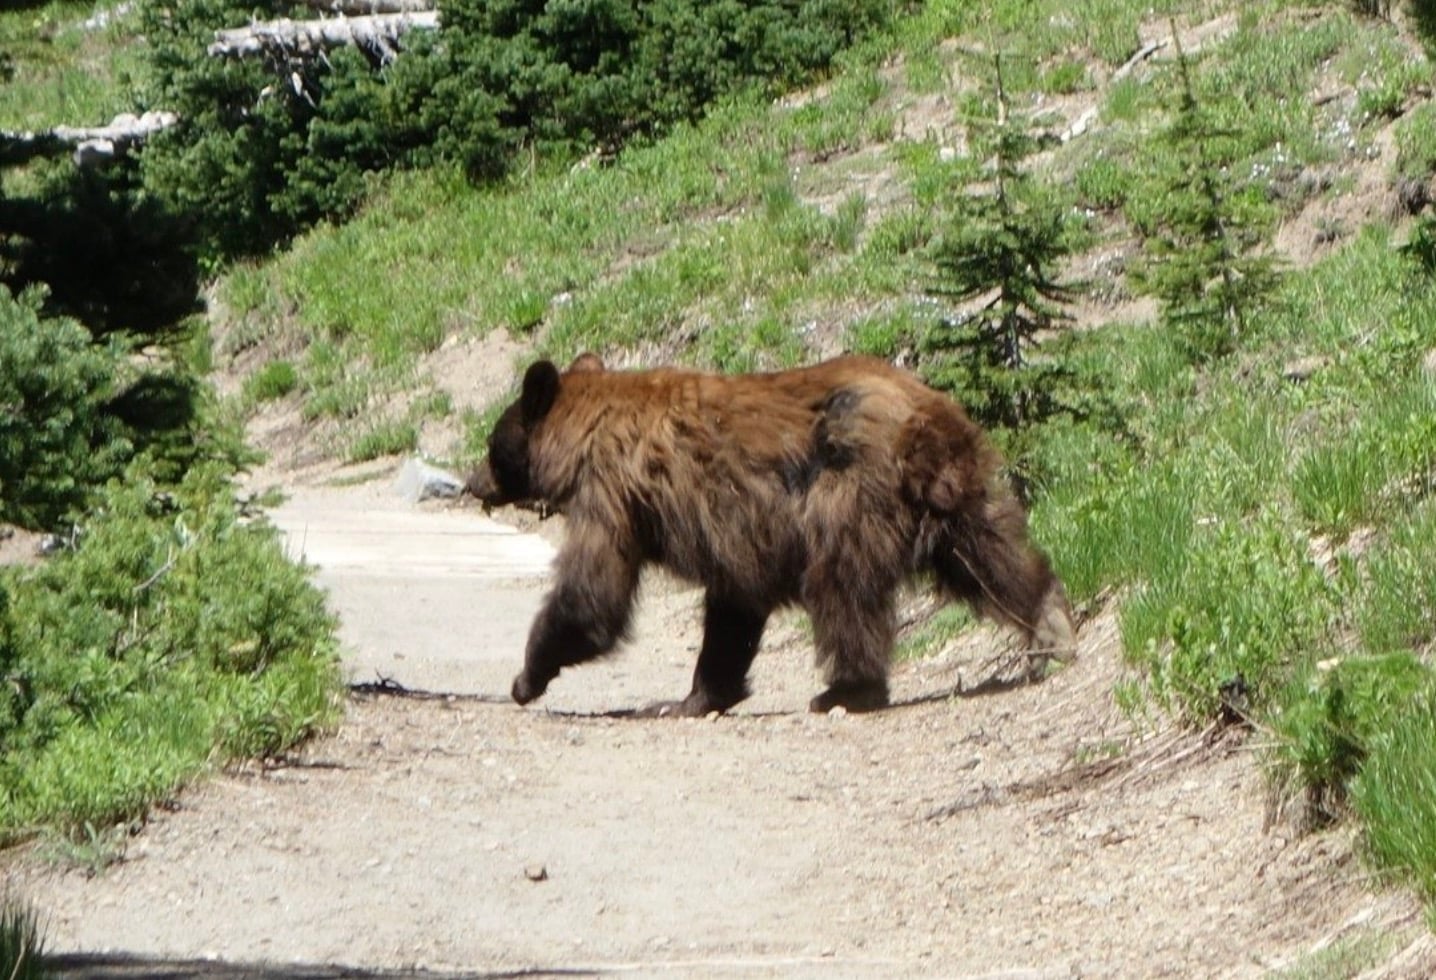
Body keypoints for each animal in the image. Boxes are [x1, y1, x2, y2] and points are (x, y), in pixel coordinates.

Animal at [466, 353, 1076, 716]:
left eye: (494, 443)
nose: (472, 482)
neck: (585, 432)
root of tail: (925, 413)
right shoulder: (736, 531)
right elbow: (732, 610)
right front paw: (697, 696)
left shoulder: (611, 490)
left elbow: (593, 592)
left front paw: (527, 677)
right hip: (953, 495)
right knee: (990, 558)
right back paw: (1050, 625)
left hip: (848, 492)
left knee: (843, 589)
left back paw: (846, 689)